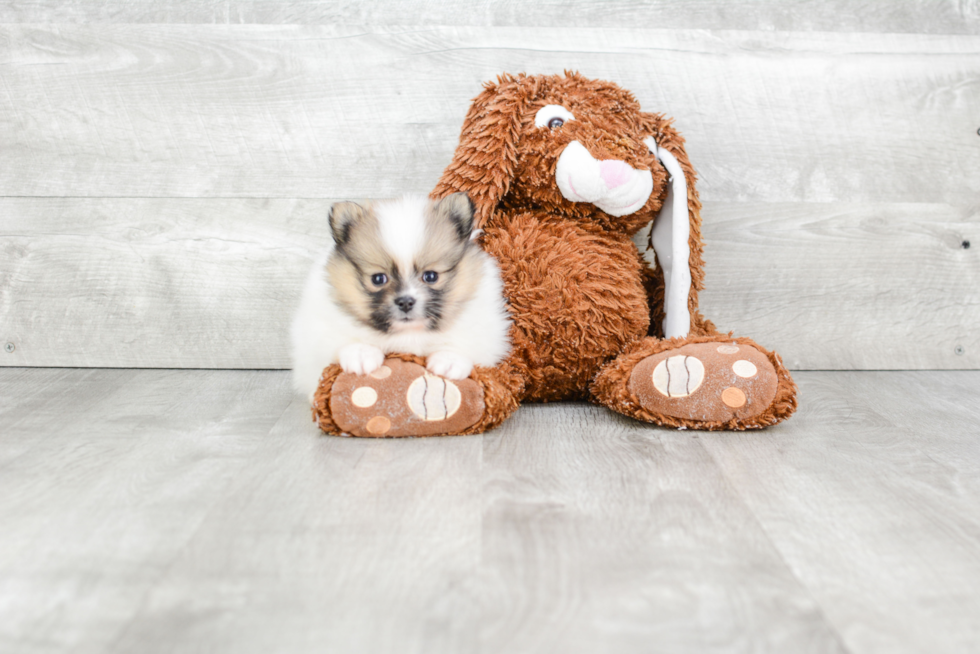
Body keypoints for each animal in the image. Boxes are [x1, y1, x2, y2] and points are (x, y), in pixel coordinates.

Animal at [290, 192, 512, 402]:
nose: (405, 302)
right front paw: (361, 354)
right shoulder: (320, 325)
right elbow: (344, 340)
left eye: (431, 276)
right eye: (378, 279)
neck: (408, 332)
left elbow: (464, 343)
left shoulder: (485, 325)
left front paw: (450, 361)